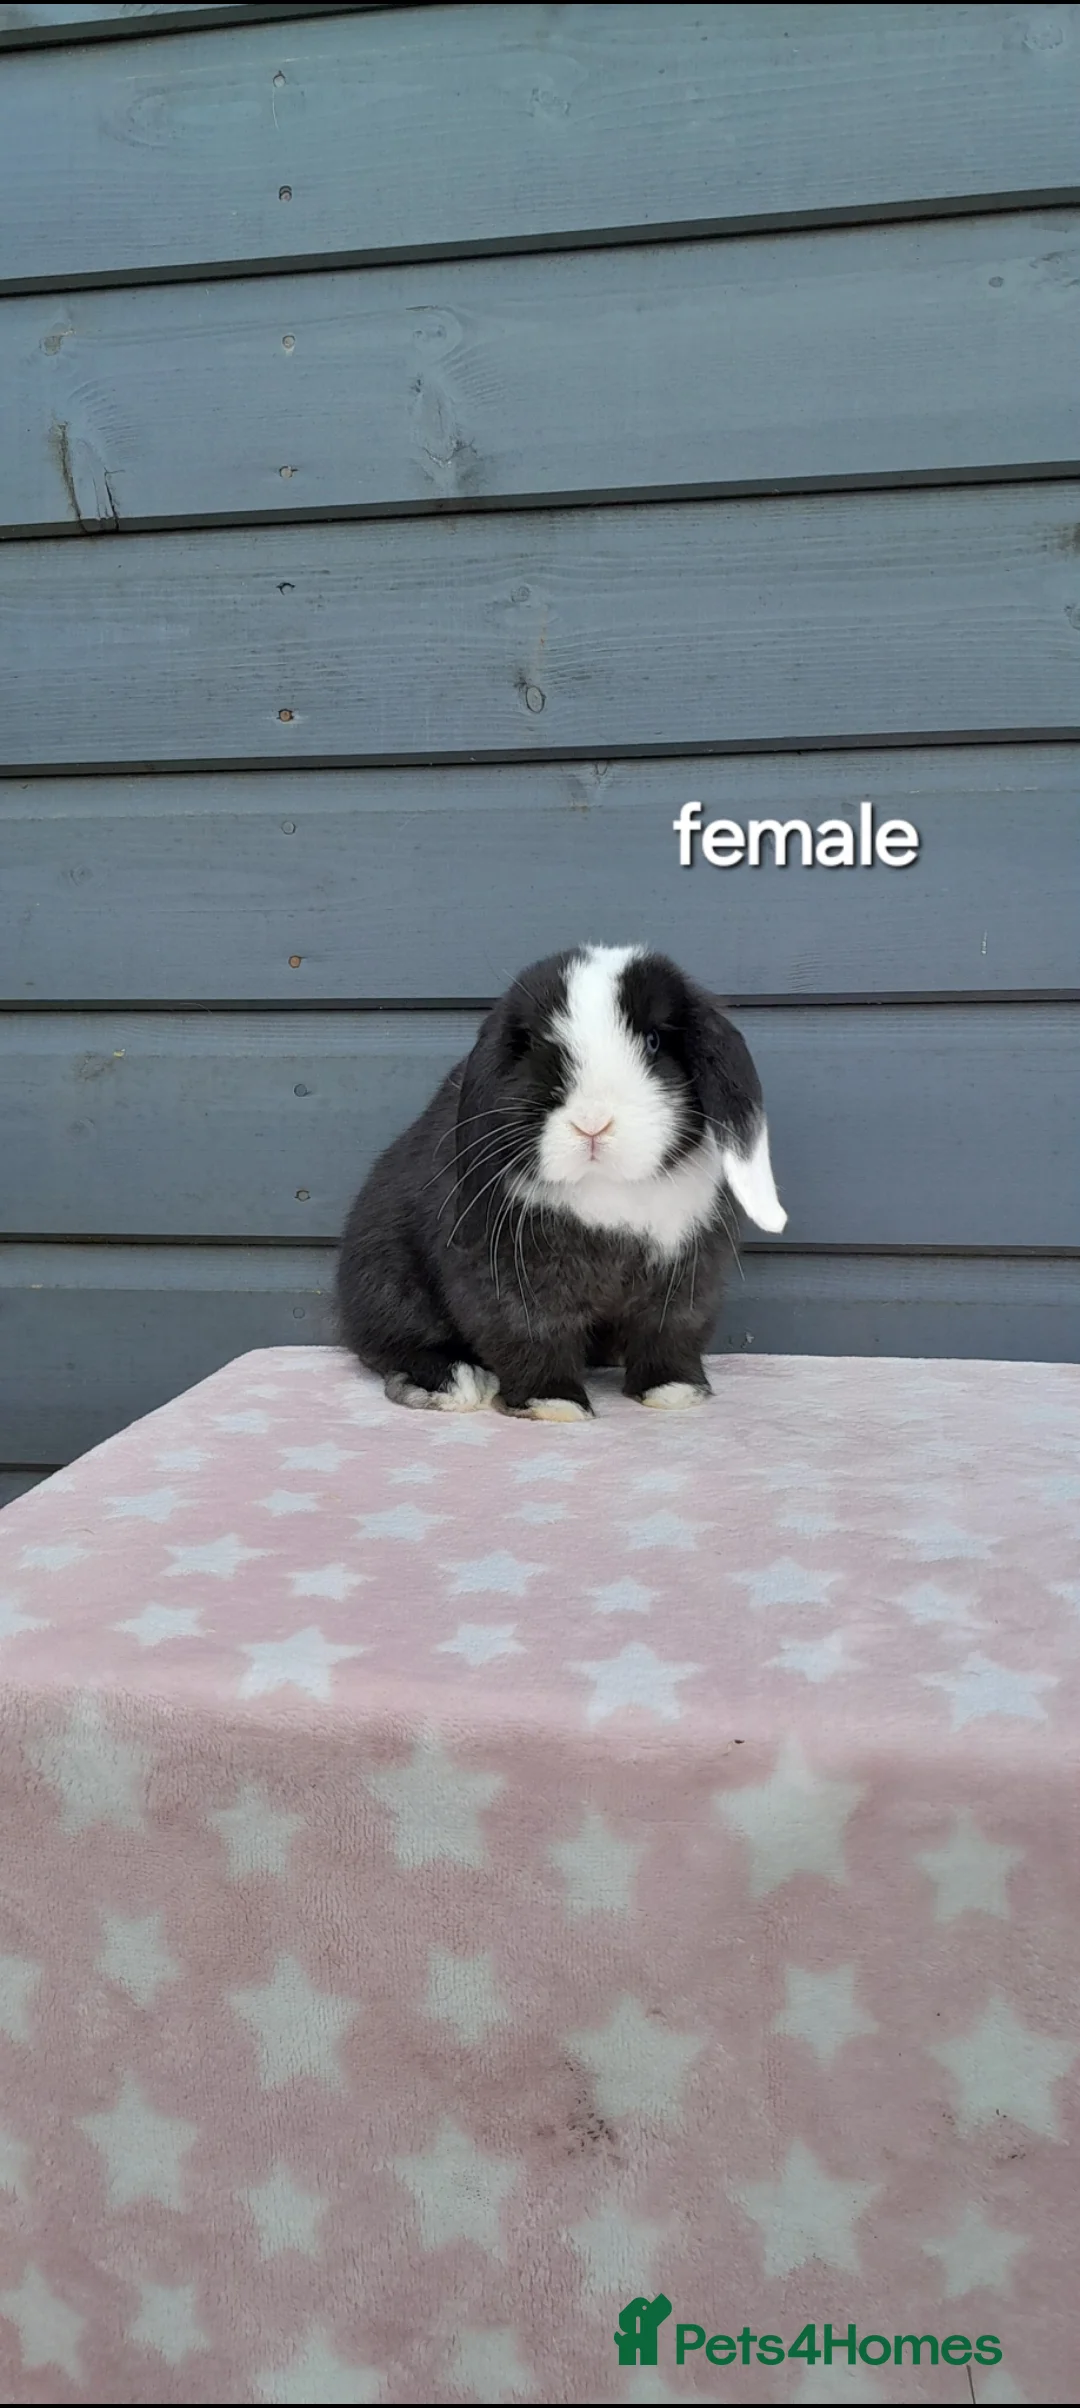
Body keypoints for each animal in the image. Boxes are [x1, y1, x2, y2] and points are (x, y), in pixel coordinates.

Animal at [336, 944, 787, 1420]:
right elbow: (530, 1334)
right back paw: (457, 1382)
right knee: (398, 1345)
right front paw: (554, 1403)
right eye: (534, 1044)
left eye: (653, 1041)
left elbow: (672, 1331)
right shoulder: (513, 1280)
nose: (592, 1122)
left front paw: (674, 1391)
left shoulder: (686, 1280)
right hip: (385, 1279)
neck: (609, 1190)